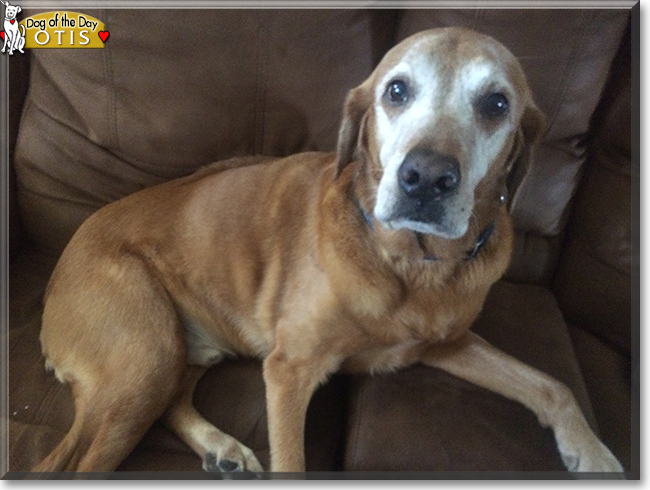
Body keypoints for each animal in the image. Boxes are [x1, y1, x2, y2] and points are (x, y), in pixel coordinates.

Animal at [31, 27, 624, 474]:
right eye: (396, 91)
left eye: (497, 104)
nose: (426, 177)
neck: (412, 264)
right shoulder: (289, 370)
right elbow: (292, 461)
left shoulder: (448, 344)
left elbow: (551, 385)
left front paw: (593, 453)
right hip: (145, 356)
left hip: (183, 353)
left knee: (172, 403)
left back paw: (221, 449)